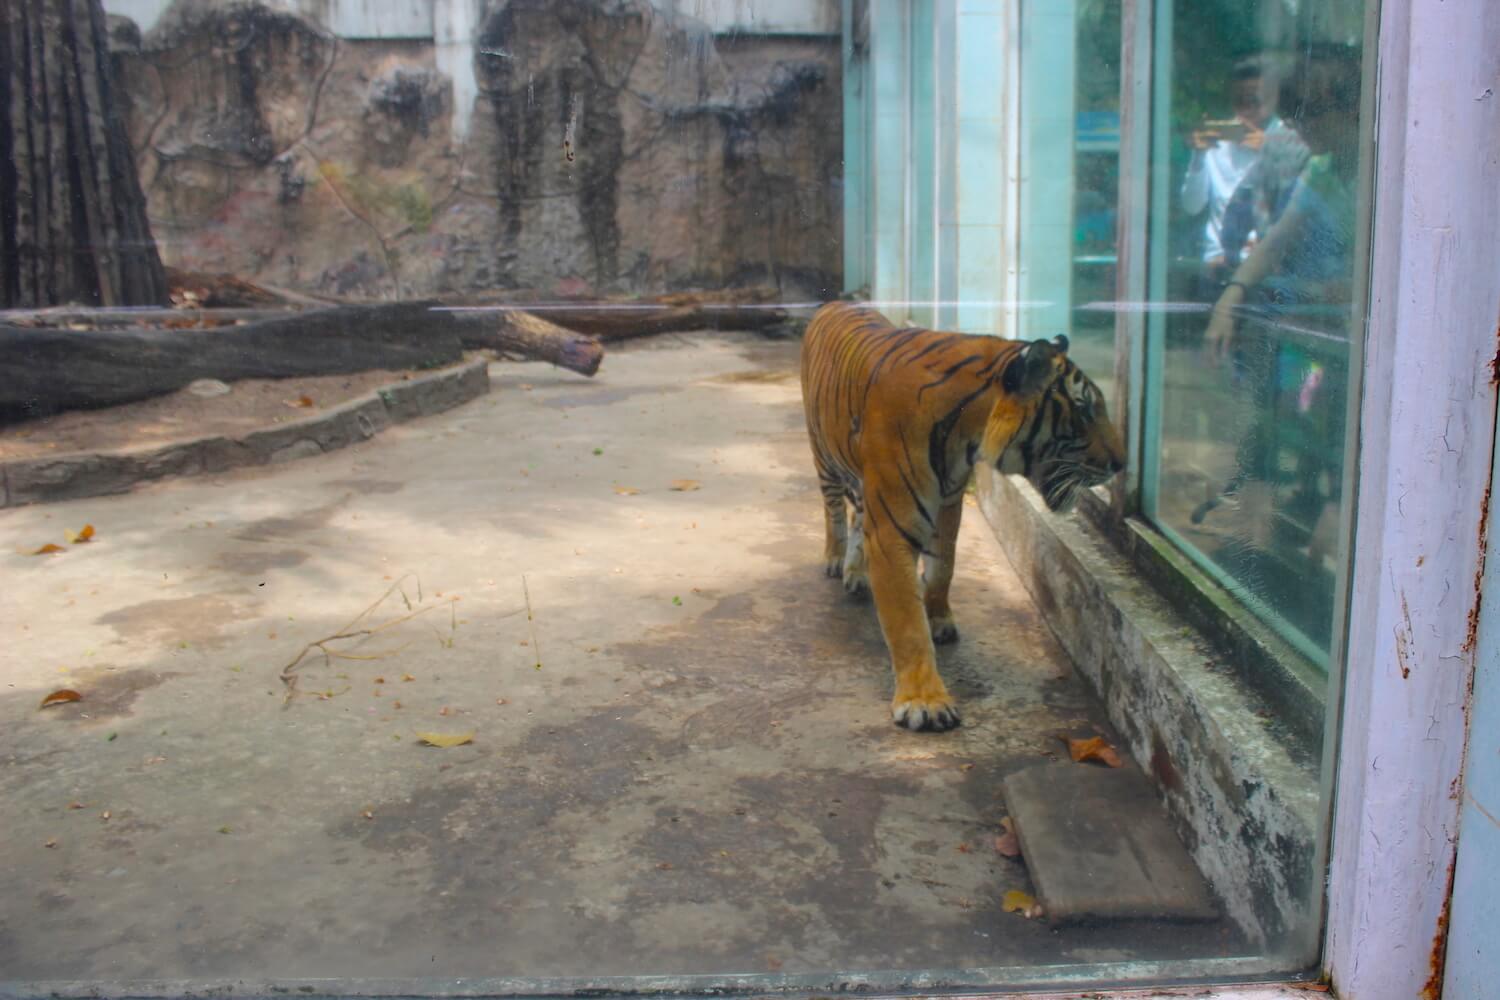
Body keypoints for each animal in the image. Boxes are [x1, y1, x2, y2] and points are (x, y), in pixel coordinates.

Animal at [799, 301, 1125, 732]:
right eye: (1084, 409)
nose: (1122, 463)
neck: (966, 431)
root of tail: (834, 303)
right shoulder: (892, 527)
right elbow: (906, 623)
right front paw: (925, 701)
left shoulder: (948, 503)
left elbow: (943, 569)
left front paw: (937, 616)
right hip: (824, 458)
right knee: (834, 512)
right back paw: (837, 561)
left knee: (856, 518)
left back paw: (856, 572)